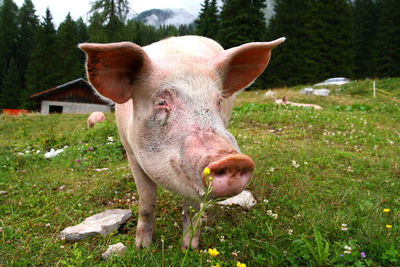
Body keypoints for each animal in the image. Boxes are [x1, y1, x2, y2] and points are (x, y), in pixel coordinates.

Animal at [78, 35, 284, 249]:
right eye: (161, 102)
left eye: (218, 101)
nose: (233, 160)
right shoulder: (131, 154)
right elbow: (146, 199)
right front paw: (142, 247)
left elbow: (191, 207)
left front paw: (189, 248)